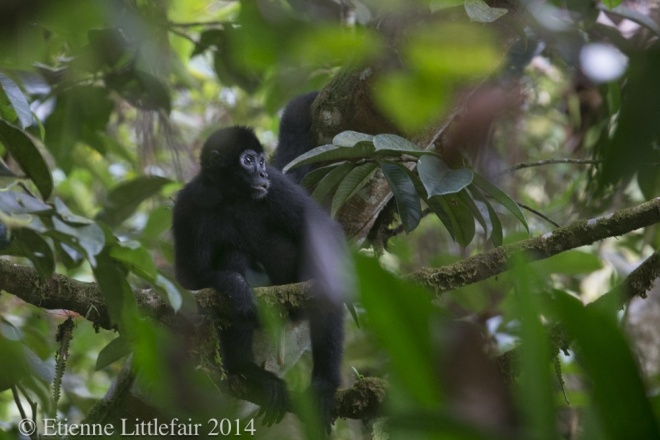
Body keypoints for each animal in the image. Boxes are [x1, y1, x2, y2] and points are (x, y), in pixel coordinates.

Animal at [173, 125, 348, 432]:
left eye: (263, 162)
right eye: (248, 161)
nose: (262, 174)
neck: (231, 199)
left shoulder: (277, 186)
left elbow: (324, 232)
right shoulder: (187, 204)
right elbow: (188, 280)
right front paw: (235, 286)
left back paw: (324, 386)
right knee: (233, 258)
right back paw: (246, 368)